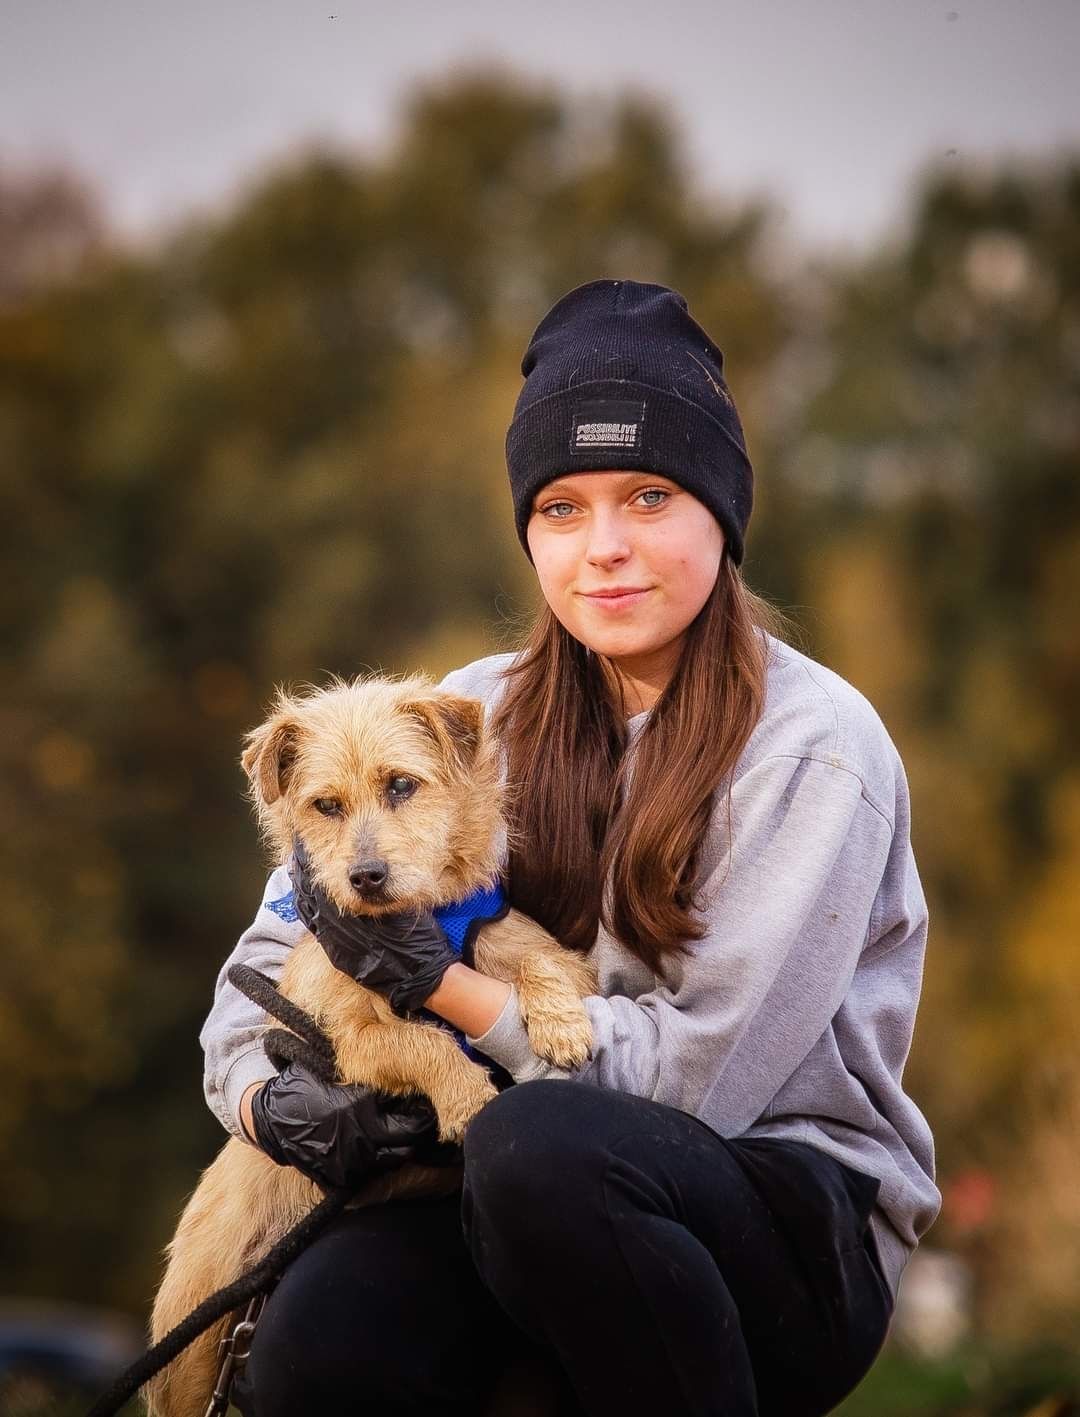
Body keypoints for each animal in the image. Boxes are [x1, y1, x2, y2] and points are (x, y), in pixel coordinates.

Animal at [145, 674, 598, 1417]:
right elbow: (423, 1044)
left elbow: (543, 962)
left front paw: (562, 1025)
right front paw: (469, 1099)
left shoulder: (519, 942)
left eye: (401, 785)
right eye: (326, 804)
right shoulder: (349, 1038)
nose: (366, 877)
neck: (422, 925)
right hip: (188, 1368)